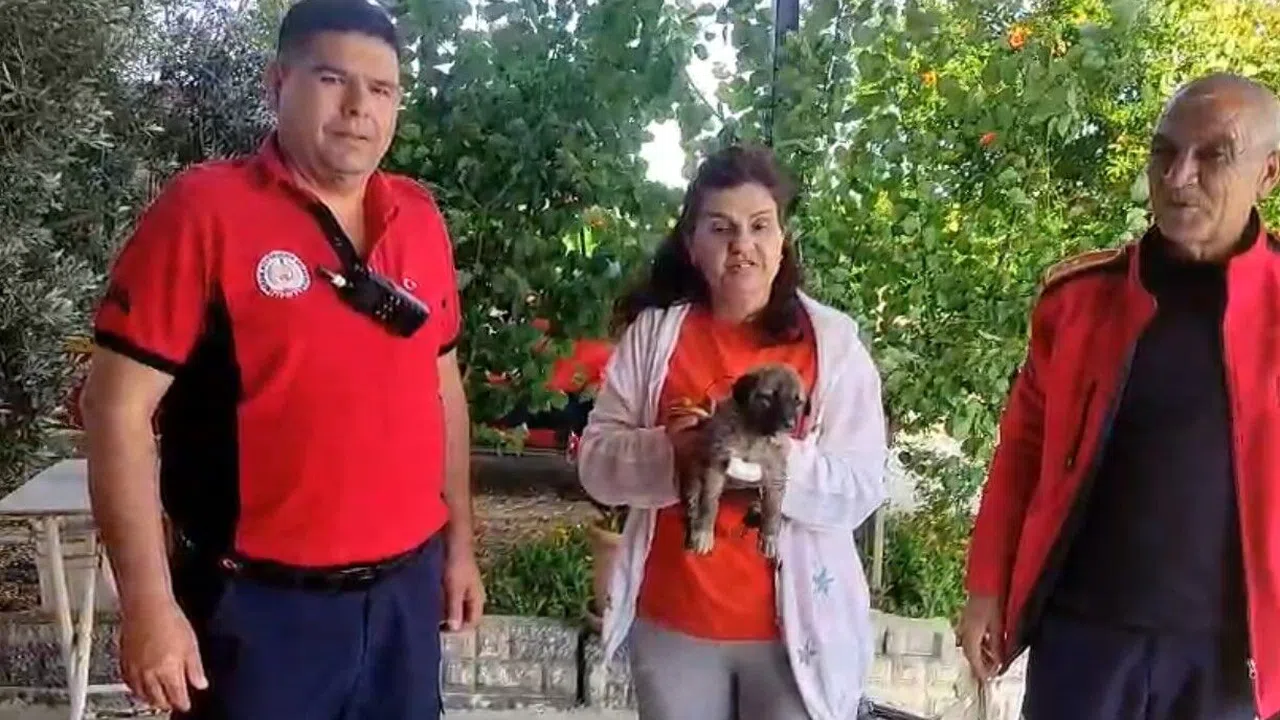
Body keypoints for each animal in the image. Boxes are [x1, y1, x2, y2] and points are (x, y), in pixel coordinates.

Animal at [680, 363, 808, 560]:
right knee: (694, 495)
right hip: (695, 465)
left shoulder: (775, 471)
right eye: (769, 397)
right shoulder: (717, 462)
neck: (755, 434)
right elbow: (709, 501)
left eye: (798, 402)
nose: (790, 425)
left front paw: (769, 537)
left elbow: (773, 507)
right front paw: (704, 532)